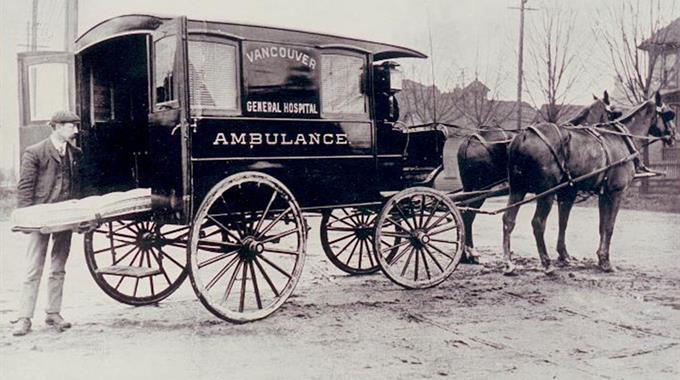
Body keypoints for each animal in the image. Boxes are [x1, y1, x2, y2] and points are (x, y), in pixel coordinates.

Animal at [456, 92, 620, 264]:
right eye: (611, 113)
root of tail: (470, 140)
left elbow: (563, 220)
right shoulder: (568, 191)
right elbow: (564, 220)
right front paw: (564, 255)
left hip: (471, 188)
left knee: (464, 213)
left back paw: (465, 254)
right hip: (481, 189)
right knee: (468, 215)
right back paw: (470, 253)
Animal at [502, 93, 676, 274]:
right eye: (670, 114)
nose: (674, 135)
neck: (620, 139)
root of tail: (523, 136)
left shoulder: (599, 193)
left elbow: (598, 225)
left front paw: (599, 258)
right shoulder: (616, 192)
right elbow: (609, 226)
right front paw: (606, 262)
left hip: (517, 188)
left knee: (508, 220)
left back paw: (508, 262)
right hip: (546, 193)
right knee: (538, 223)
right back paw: (547, 263)